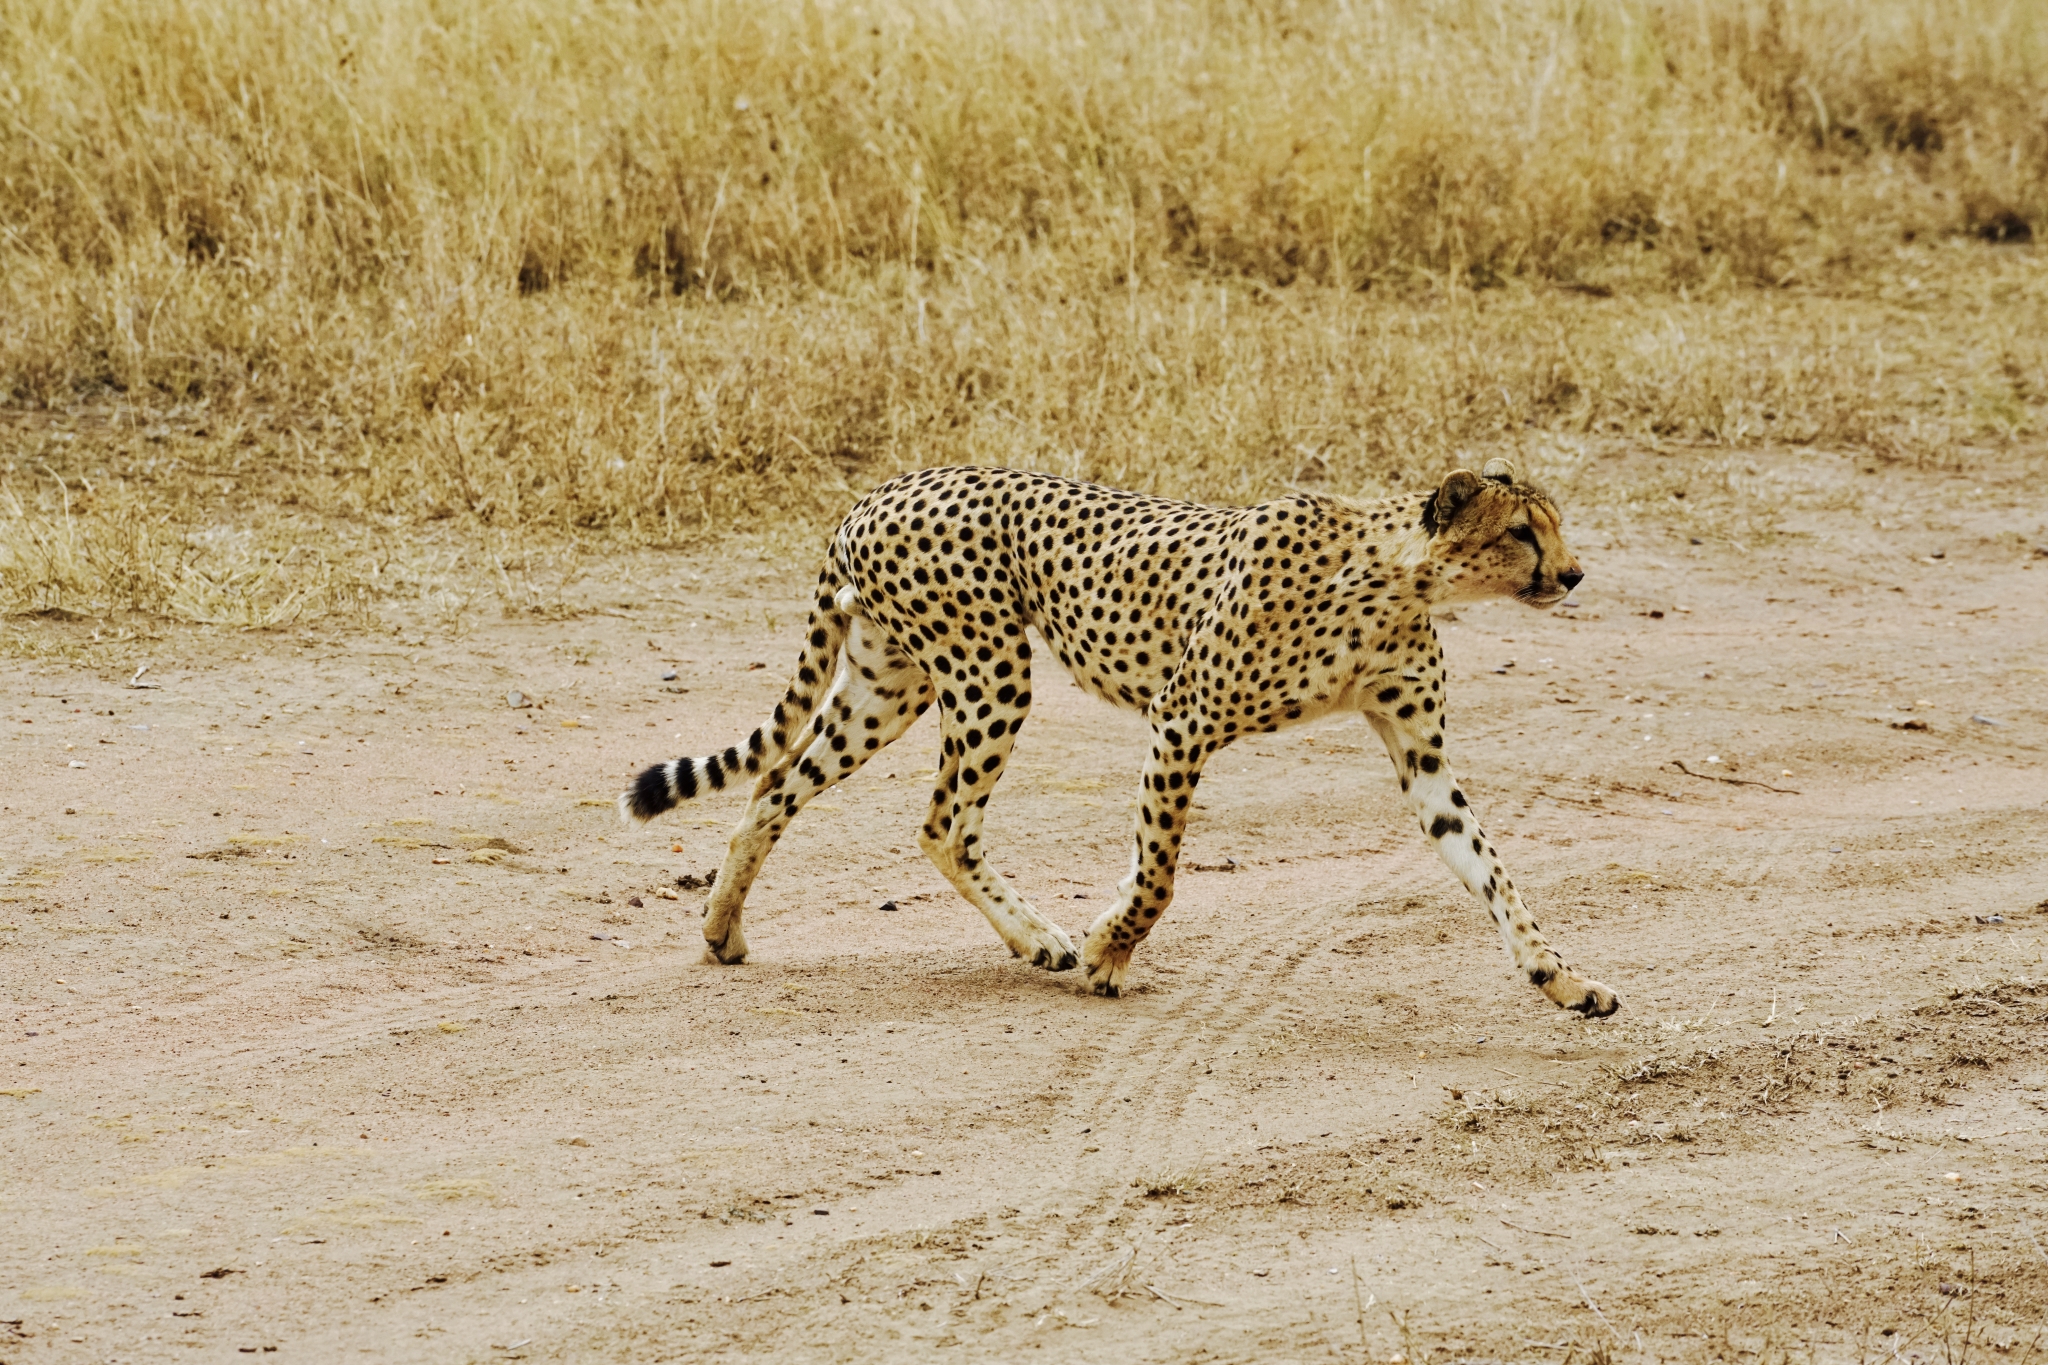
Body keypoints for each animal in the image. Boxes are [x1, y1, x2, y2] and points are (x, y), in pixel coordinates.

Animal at [618, 458, 1613, 1015]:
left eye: (1555, 526)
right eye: (1522, 530)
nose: (1573, 573)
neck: (1395, 579)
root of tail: (880, 488)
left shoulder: (1423, 759)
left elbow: (1494, 872)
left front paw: (1563, 979)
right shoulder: (1183, 720)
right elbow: (1160, 875)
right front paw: (1105, 953)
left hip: (887, 685)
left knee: (773, 786)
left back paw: (721, 929)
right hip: (988, 670)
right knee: (942, 821)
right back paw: (1043, 939)